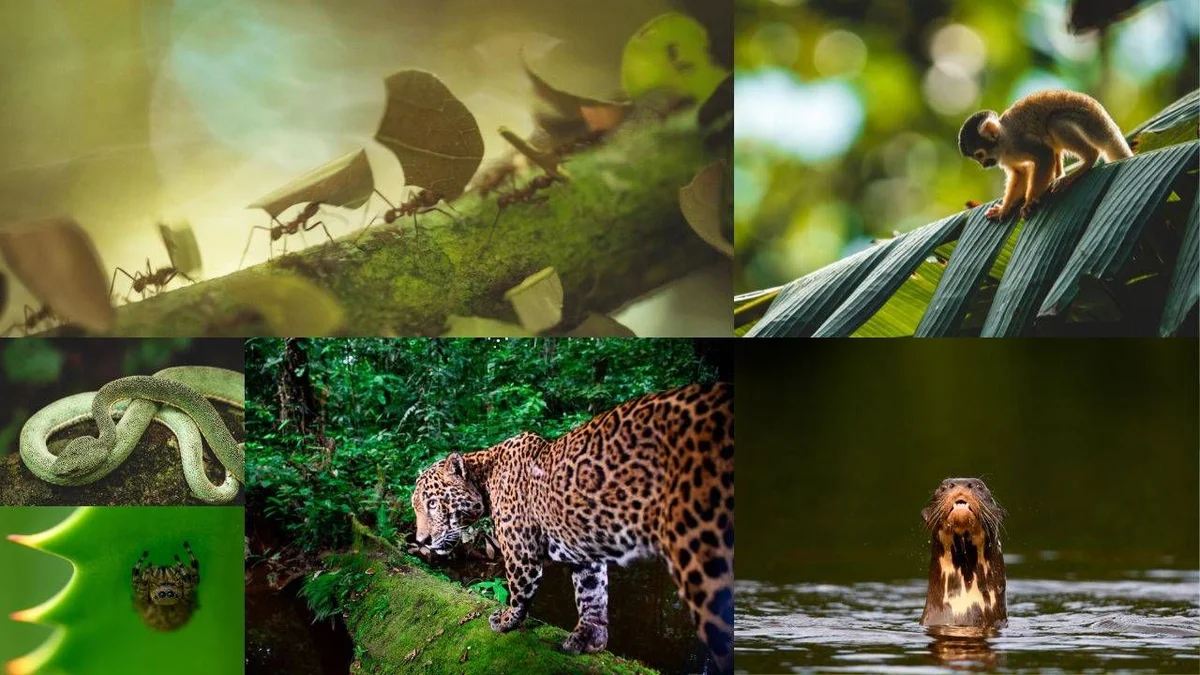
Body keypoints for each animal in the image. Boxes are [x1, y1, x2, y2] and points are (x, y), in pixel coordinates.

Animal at [411, 381, 735, 672]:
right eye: (416, 506)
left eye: (432, 503)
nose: (421, 540)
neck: (485, 477)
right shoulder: (585, 550)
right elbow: (592, 593)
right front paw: (589, 638)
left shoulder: (521, 553)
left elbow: (518, 589)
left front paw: (505, 621)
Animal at [958, 90, 1133, 221]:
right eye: (977, 158)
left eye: (980, 154)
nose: (984, 164)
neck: (1004, 143)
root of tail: (1106, 121)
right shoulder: (1004, 158)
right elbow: (1020, 173)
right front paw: (1004, 209)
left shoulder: (1019, 140)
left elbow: (1044, 154)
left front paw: (1029, 201)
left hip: (1089, 123)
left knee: (1054, 122)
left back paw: (1085, 162)